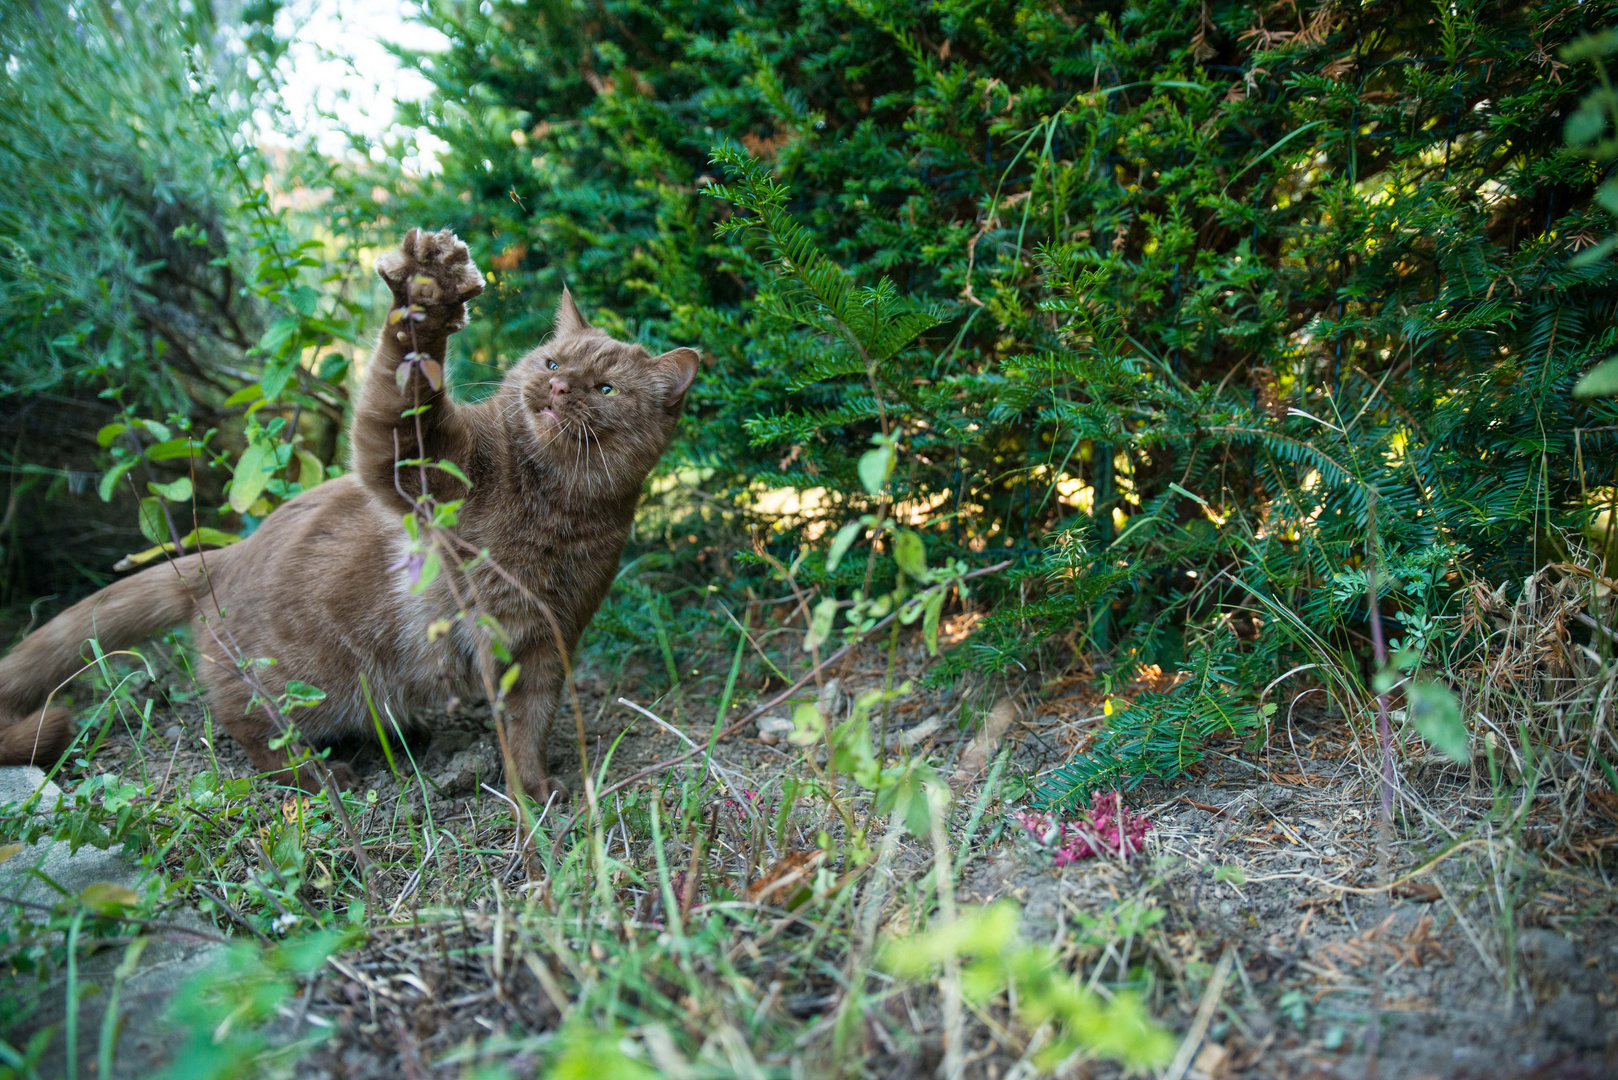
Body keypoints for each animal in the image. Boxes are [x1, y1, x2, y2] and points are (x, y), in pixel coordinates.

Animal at [0, 228, 695, 803]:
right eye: (552, 362)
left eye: (605, 389)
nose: (556, 387)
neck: (551, 504)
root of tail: (218, 559)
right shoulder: (413, 462)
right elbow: (404, 382)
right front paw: (429, 293)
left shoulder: (544, 640)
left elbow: (528, 726)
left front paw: (536, 791)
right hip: (302, 682)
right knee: (246, 723)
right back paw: (317, 775)